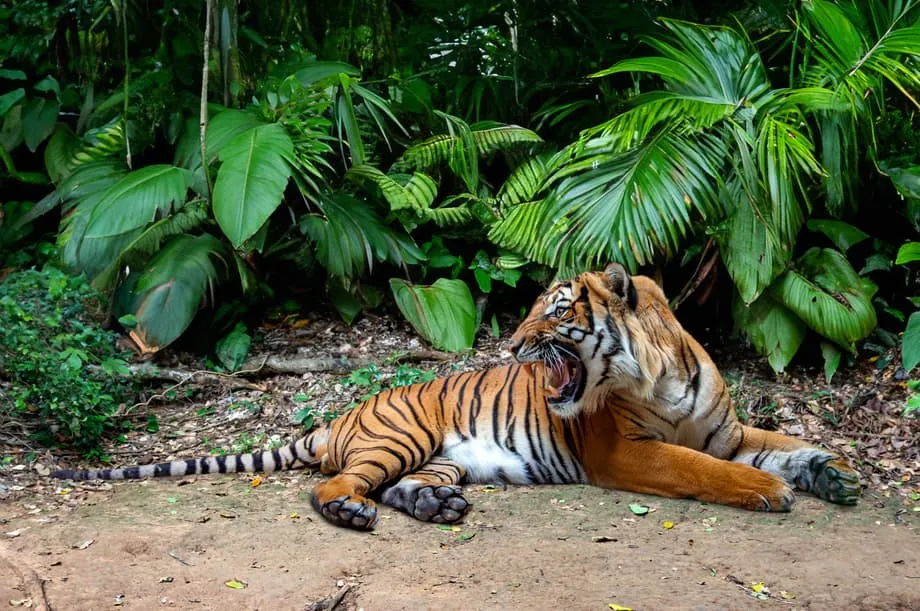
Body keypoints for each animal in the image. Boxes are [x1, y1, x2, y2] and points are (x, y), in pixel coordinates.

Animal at [52, 263, 861, 530]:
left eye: (554, 311)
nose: (513, 342)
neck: (656, 371)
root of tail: (337, 417)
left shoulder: (726, 430)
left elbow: (782, 444)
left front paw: (832, 473)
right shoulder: (628, 454)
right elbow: (704, 469)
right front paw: (769, 490)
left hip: (440, 458)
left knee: (396, 487)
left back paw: (435, 506)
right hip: (399, 435)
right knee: (331, 486)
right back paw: (351, 512)